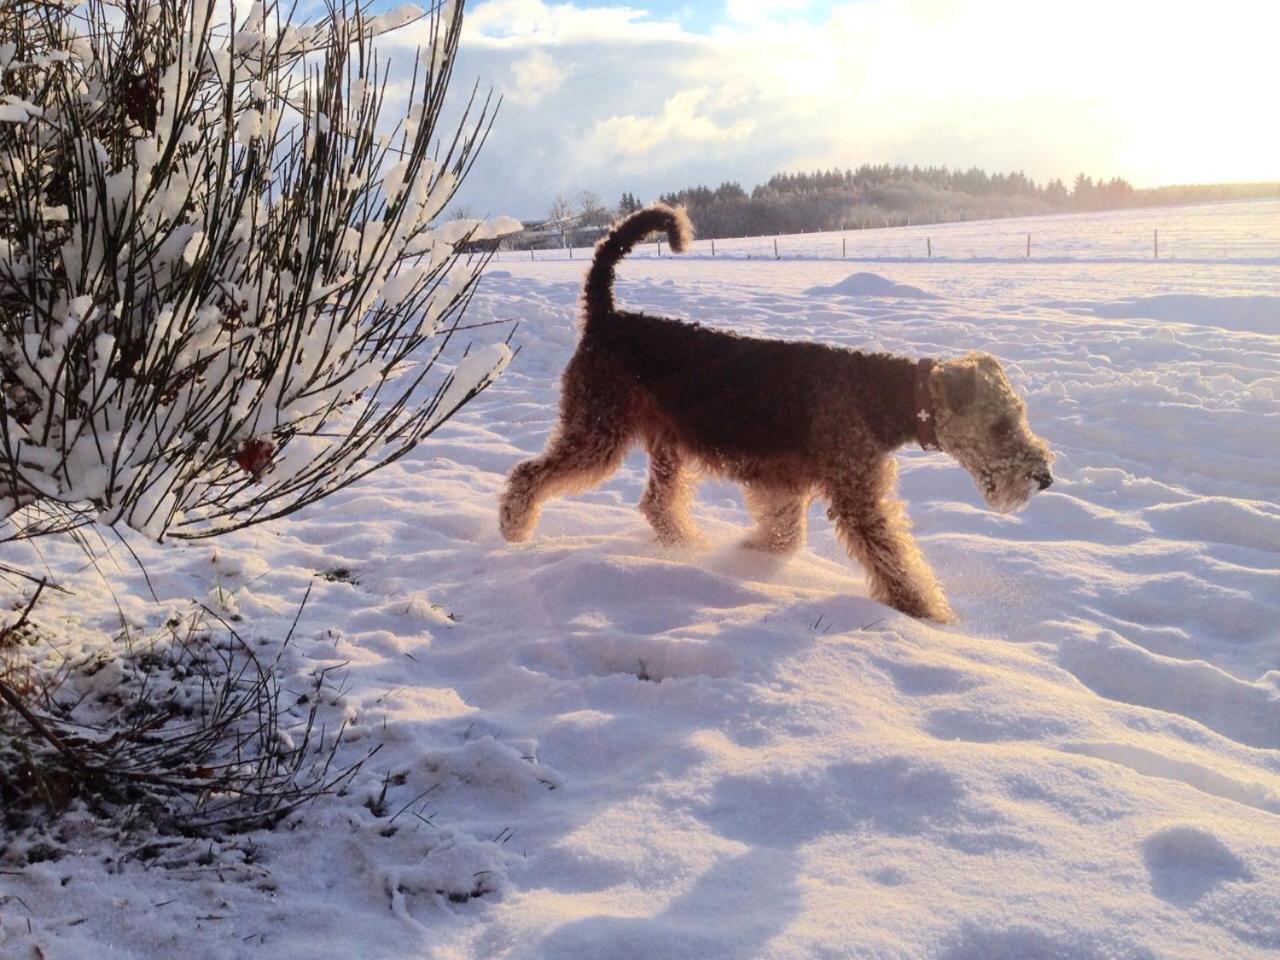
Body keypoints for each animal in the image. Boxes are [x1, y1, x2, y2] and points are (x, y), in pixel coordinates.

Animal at [494, 204, 1054, 624]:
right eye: (1001, 424)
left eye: (1018, 415)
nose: (1043, 476)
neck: (882, 396)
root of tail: (604, 315)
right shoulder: (858, 497)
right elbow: (894, 561)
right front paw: (931, 615)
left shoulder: (784, 484)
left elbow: (784, 535)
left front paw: (750, 556)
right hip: (598, 432)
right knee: (527, 474)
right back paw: (514, 532)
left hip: (667, 443)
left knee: (657, 503)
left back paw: (687, 547)